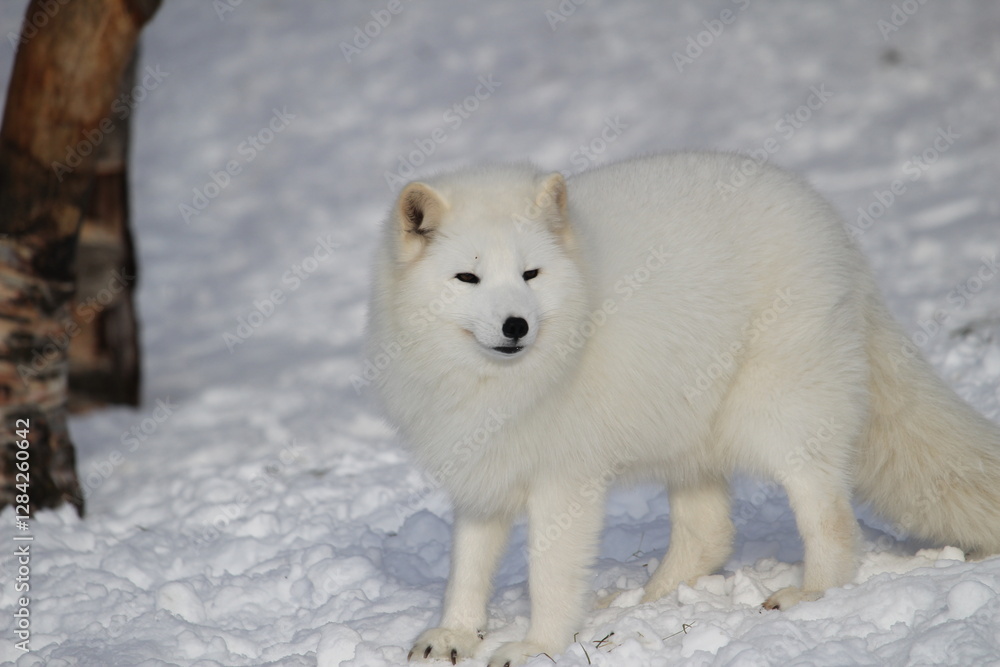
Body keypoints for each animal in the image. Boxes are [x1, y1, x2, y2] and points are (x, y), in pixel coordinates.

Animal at [364, 152, 1000, 666]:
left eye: (530, 274)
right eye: (467, 277)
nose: (516, 326)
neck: (498, 386)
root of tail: (836, 230)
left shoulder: (565, 479)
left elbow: (549, 574)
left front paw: (538, 646)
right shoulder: (482, 471)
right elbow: (466, 567)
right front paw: (455, 634)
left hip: (781, 419)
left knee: (830, 518)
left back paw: (811, 594)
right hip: (690, 435)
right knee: (710, 534)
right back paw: (639, 605)